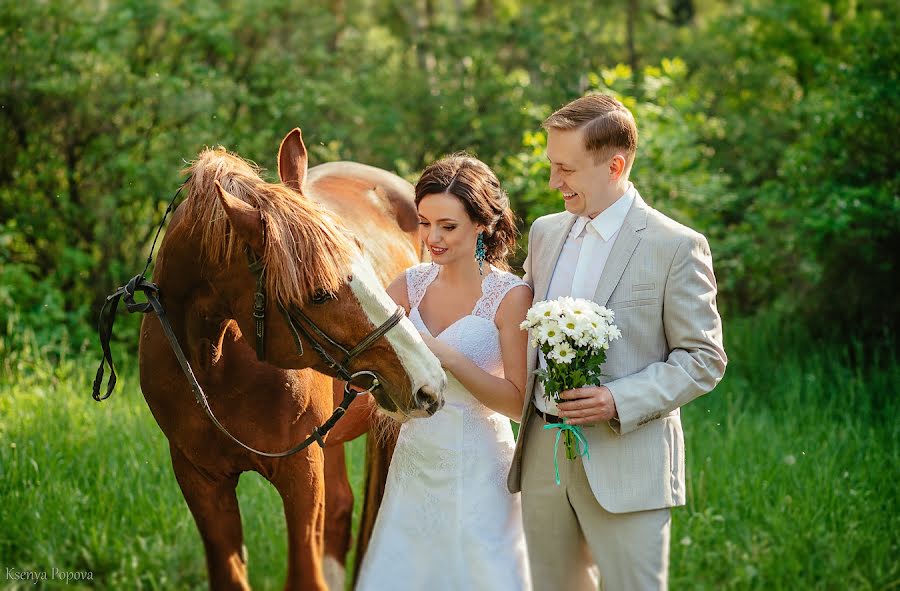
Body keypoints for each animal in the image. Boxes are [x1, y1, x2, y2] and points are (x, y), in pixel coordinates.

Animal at [139, 131, 444, 591]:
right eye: (318, 293)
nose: (429, 381)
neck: (214, 362)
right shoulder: (200, 480)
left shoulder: (302, 473)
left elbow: (305, 574)